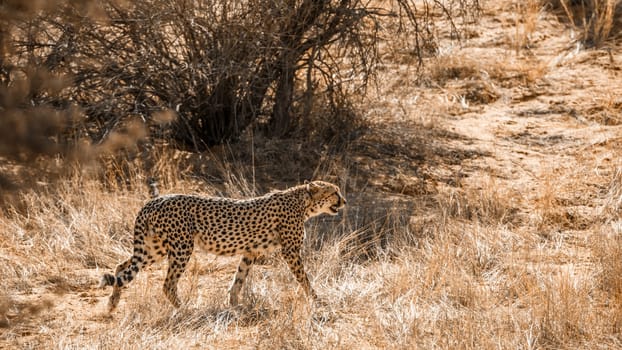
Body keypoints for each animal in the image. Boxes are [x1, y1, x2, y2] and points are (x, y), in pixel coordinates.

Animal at [100, 182, 348, 310]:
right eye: (334, 192)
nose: (344, 201)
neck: (303, 202)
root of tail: (153, 200)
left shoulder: (250, 251)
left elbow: (239, 279)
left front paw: (234, 304)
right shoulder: (290, 252)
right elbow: (304, 278)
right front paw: (316, 299)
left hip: (154, 248)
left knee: (121, 268)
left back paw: (112, 305)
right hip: (181, 247)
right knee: (167, 284)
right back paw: (186, 309)